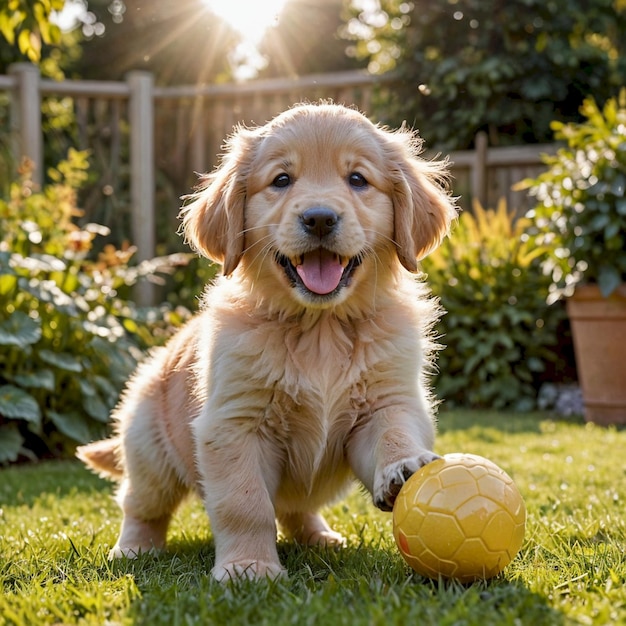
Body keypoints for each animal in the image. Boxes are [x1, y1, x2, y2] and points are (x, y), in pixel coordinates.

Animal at [79, 101, 458, 580]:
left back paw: (319, 536)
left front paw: (404, 468)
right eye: (281, 180)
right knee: (141, 505)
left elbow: (394, 433)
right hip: (150, 451)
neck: (319, 327)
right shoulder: (234, 424)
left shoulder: (386, 400)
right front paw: (249, 567)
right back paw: (135, 549)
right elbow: (246, 504)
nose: (319, 218)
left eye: (357, 179)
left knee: (297, 508)